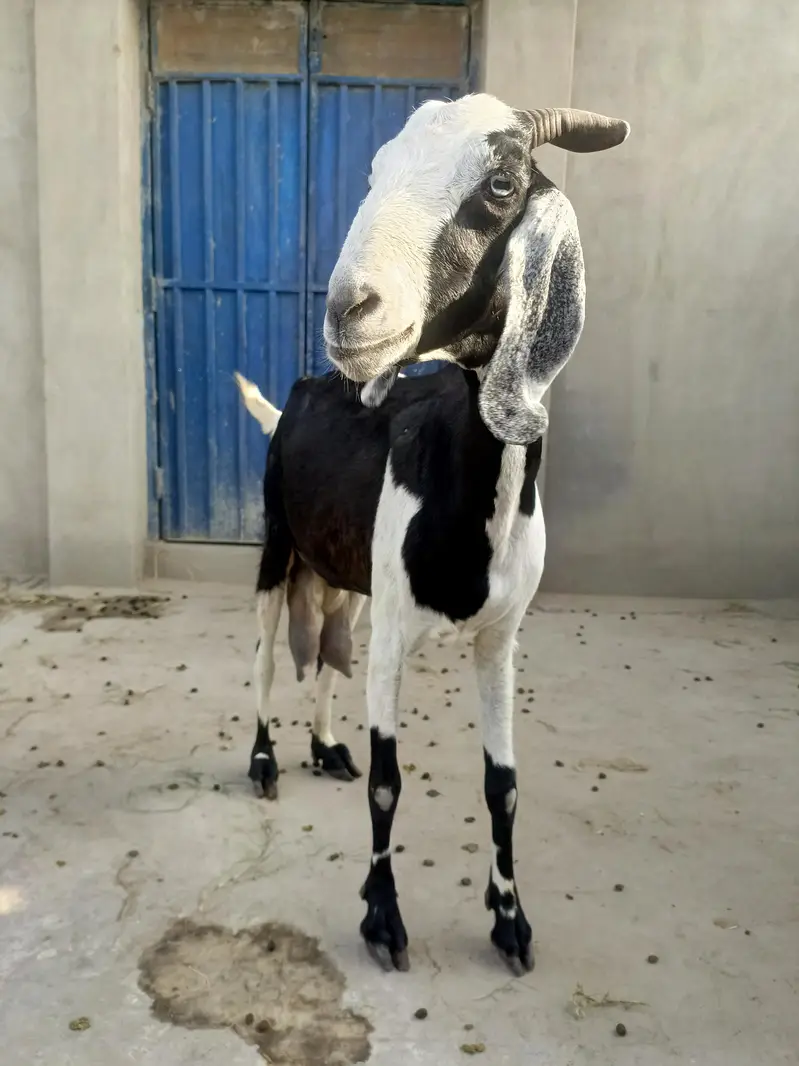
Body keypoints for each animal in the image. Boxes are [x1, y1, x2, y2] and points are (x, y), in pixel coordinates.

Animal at [235, 94, 629, 975]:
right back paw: (265, 761)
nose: (349, 312)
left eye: (500, 184)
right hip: (278, 547)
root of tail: (297, 395)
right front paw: (382, 918)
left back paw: (324, 745)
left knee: (327, 653)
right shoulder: (395, 635)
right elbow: (389, 781)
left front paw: (510, 919)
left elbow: (503, 784)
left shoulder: (498, 640)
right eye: (375, 172)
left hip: (347, 577)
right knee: (271, 656)